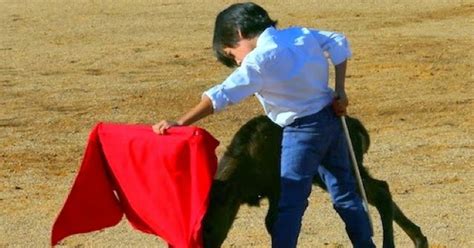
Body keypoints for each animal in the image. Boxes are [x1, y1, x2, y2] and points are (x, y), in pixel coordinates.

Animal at [201, 116, 430, 248]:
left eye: (209, 227)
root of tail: (357, 126)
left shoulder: (279, 189)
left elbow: (273, 222)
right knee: (380, 190)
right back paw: (420, 240)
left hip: (343, 170)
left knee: (380, 192)